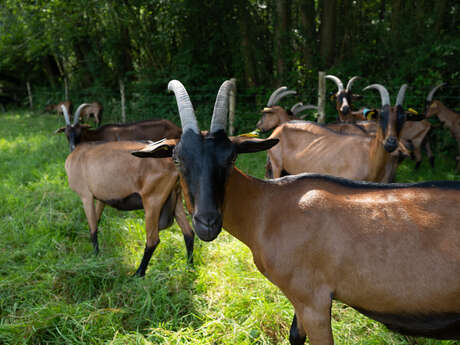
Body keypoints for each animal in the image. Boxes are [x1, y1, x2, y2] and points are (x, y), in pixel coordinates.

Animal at [264, 84, 408, 181]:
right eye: (381, 117)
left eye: (402, 118)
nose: (391, 143)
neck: (370, 154)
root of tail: (278, 129)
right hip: (277, 166)